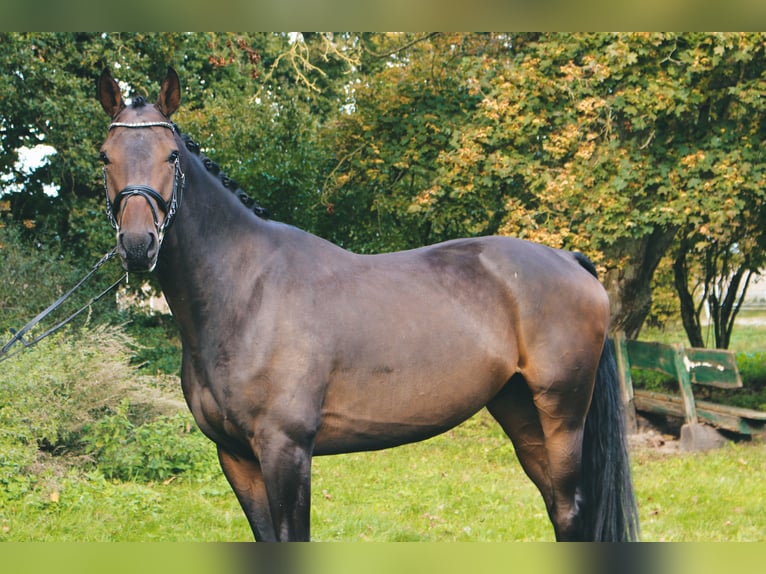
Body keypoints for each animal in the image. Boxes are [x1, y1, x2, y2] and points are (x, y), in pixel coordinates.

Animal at [97, 68, 640, 544]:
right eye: (105, 156)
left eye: (171, 156)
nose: (138, 245)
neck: (245, 292)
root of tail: (569, 259)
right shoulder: (235, 457)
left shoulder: (286, 451)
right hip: (520, 411)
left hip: (562, 415)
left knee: (570, 511)